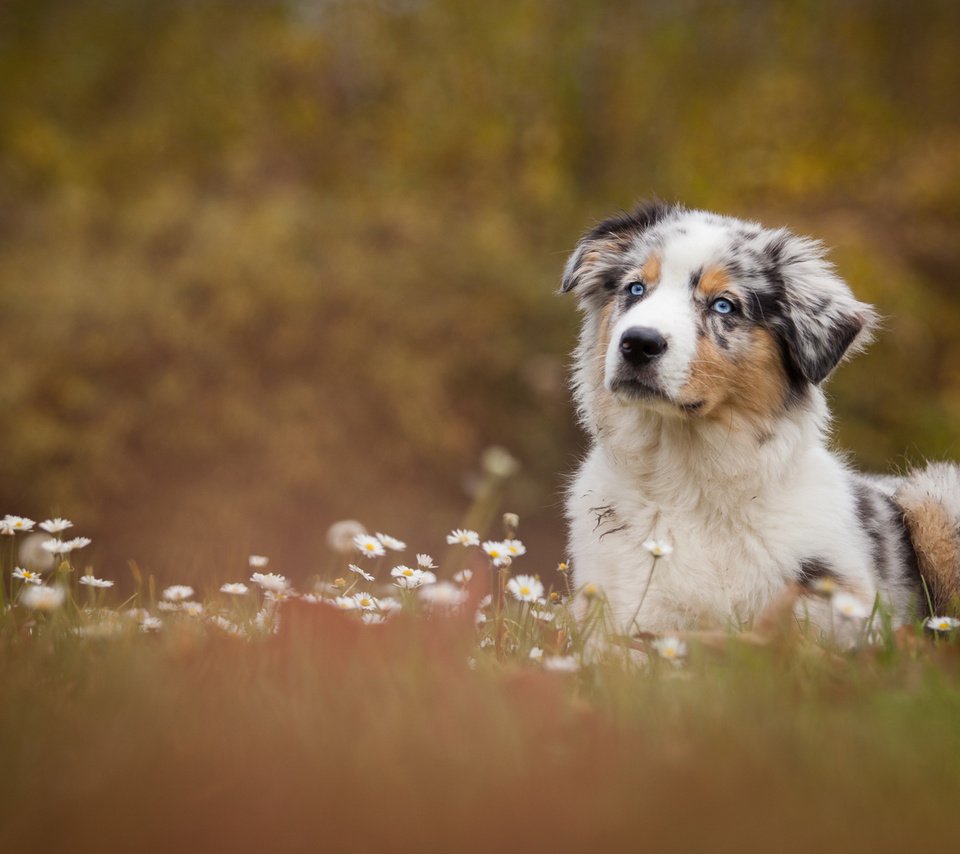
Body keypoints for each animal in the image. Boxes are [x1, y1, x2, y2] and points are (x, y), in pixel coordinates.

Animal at [564, 202, 960, 640]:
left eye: (724, 305)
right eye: (635, 289)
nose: (638, 343)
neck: (686, 478)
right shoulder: (623, 623)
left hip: (937, 497)